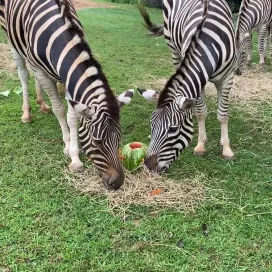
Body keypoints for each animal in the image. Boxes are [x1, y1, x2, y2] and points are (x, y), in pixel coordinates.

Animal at [0, 0, 134, 190]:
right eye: (98, 142)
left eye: (119, 137)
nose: (118, 183)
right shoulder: (46, 73)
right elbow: (60, 110)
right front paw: (69, 148)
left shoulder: (69, 79)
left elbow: (73, 118)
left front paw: (74, 153)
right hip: (12, 40)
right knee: (24, 74)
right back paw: (26, 113)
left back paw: (42, 103)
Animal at [138, 0, 236, 173]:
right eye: (151, 125)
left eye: (173, 130)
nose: (149, 166)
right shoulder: (198, 80)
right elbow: (201, 112)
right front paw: (201, 145)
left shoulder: (227, 78)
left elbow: (223, 114)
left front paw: (226, 149)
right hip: (173, 46)